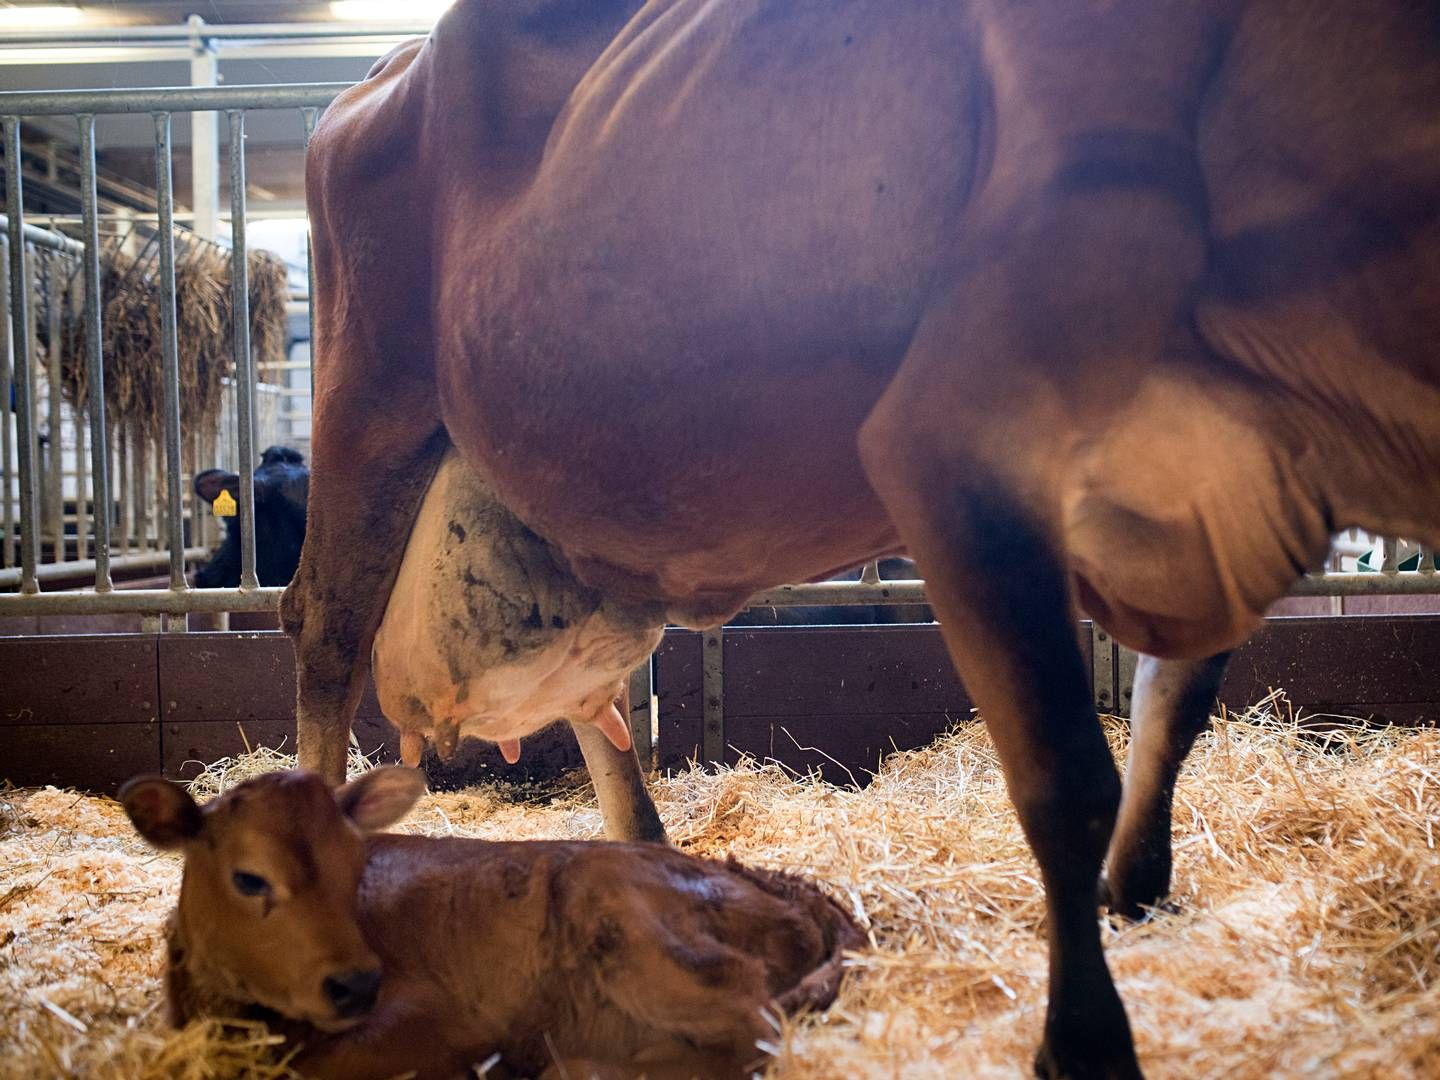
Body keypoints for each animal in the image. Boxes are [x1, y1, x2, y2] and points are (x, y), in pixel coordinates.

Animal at [118, 771, 858, 1080]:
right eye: (248, 879)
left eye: (356, 864)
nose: (357, 984)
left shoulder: (439, 1020)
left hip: (628, 924)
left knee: (752, 1019)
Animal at [280, 4, 1440, 1077]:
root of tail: (377, 74)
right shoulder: (955, 447)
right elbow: (1067, 778)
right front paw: (1084, 1038)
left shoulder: (1216, 492)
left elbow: (1176, 709)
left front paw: (1140, 894)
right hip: (367, 409)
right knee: (322, 637)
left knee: (590, 705)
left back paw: (650, 859)